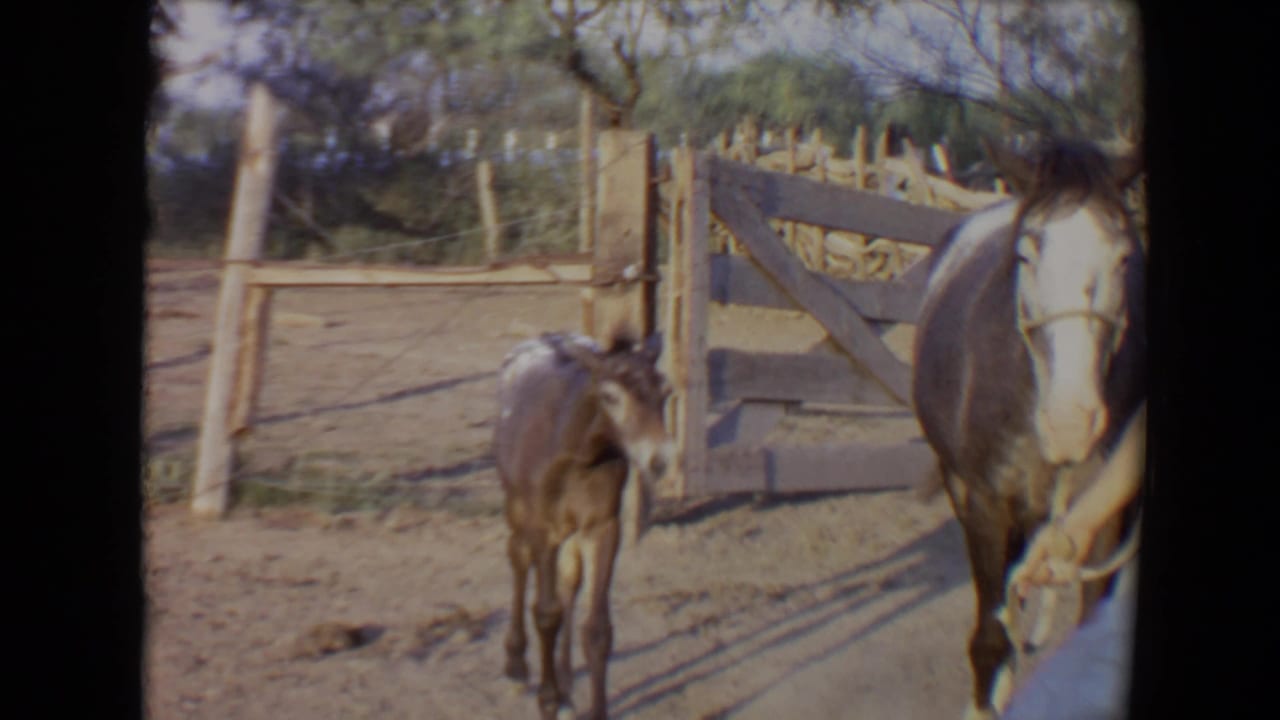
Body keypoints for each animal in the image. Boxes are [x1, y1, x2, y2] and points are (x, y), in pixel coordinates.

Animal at [495, 330, 675, 720]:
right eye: (610, 396)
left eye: (666, 391)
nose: (659, 460)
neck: (575, 451)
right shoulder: (542, 529)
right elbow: (546, 613)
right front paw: (547, 700)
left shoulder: (602, 527)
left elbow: (595, 627)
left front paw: (586, 703)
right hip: (517, 509)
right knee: (518, 558)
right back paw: (516, 660)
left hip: (572, 531)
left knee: (569, 582)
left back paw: (564, 680)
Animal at [911, 137, 1146, 719]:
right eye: (1026, 254)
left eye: (1124, 258)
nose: (1070, 423)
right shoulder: (986, 506)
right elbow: (990, 642)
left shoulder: (1102, 521)